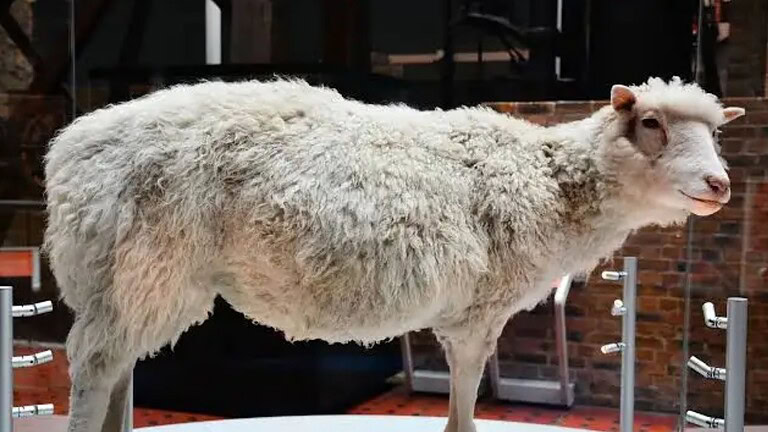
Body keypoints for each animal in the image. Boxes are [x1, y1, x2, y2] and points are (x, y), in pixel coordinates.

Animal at [43, 76, 744, 432]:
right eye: (651, 123)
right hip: (146, 266)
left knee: (118, 367)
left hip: (126, 281)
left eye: (716, 133)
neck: (547, 180)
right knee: (96, 367)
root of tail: (70, 148)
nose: (720, 185)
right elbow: (463, 405)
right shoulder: (478, 312)